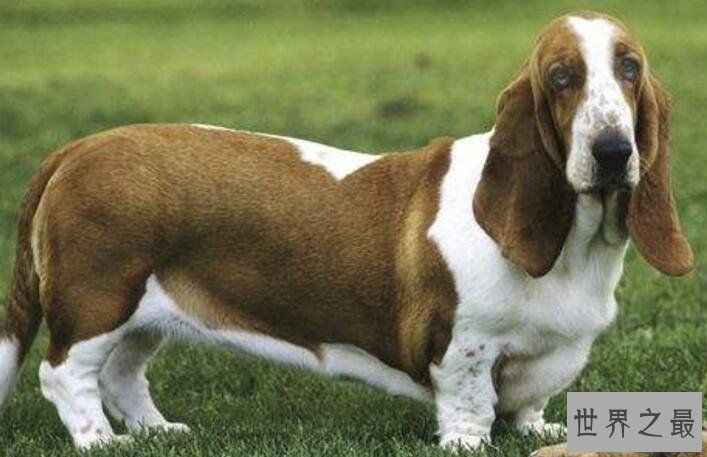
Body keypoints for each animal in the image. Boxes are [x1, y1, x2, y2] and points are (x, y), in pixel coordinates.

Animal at [0, 11, 693, 450]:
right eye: (560, 77)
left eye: (630, 69)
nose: (612, 151)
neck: (578, 245)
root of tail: (74, 149)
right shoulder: (464, 343)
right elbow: (470, 400)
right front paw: (466, 443)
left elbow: (526, 402)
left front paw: (537, 430)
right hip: (99, 298)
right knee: (64, 373)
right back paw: (100, 441)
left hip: (145, 308)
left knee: (122, 374)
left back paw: (155, 432)